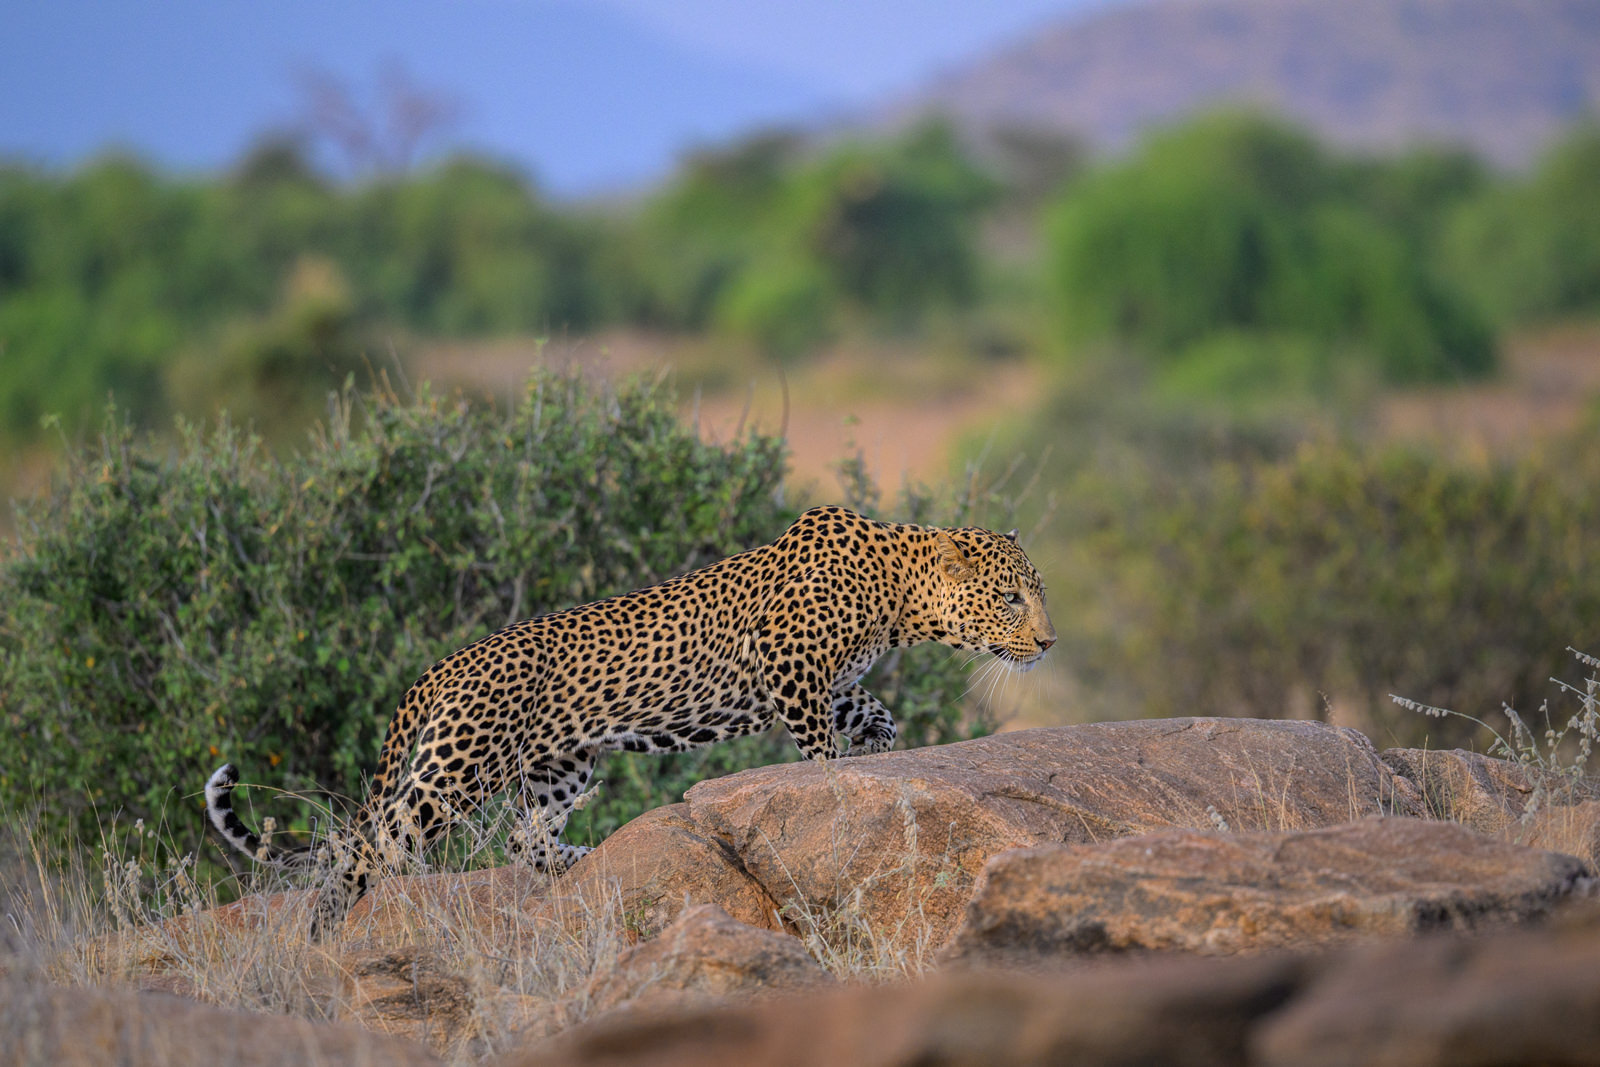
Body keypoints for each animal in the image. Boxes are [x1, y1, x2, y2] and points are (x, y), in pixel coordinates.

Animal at [203, 504, 1055, 938]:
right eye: (1011, 596)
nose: (1049, 642)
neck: (899, 591)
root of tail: (445, 664)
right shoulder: (790, 665)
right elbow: (819, 745)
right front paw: (835, 775)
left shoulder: (828, 679)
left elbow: (873, 709)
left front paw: (879, 743)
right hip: (459, 762)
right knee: (374, 839)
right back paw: (335, 920)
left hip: (561, 764)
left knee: (522, 835)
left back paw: (575, 857)